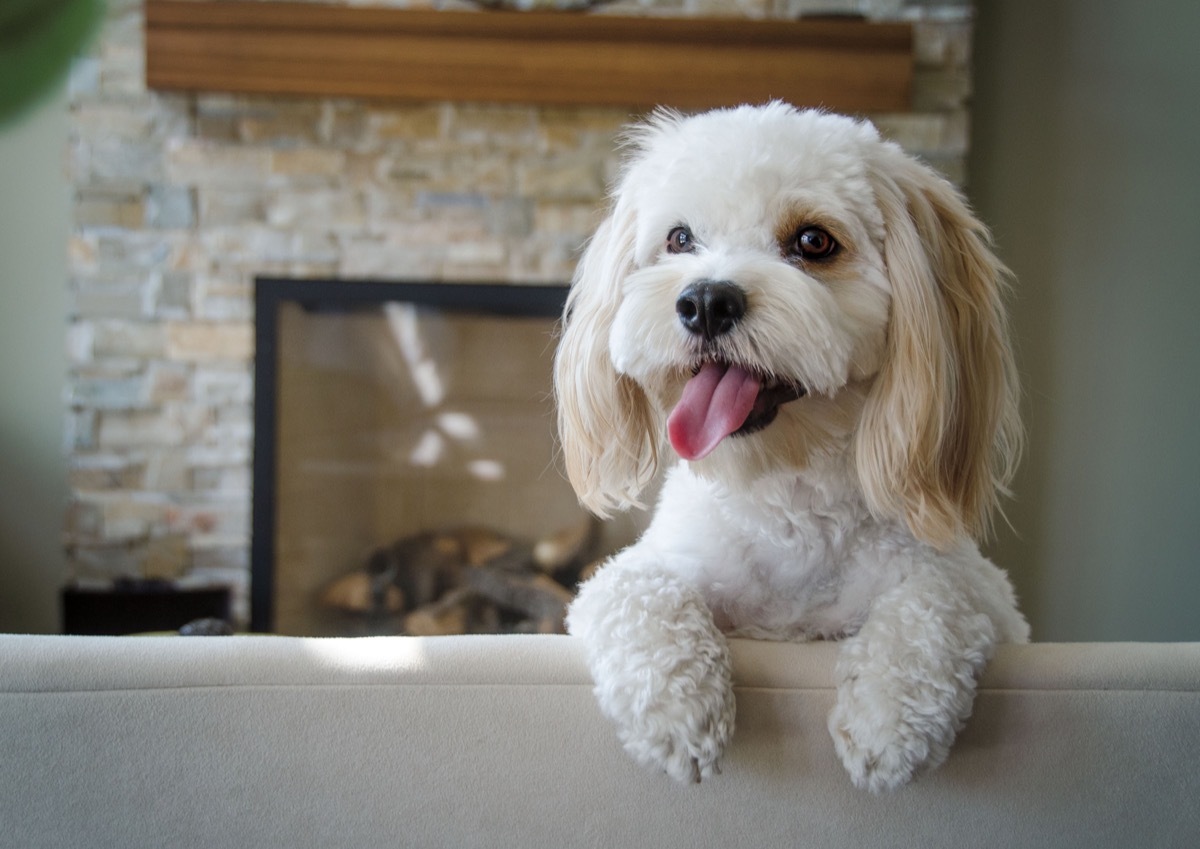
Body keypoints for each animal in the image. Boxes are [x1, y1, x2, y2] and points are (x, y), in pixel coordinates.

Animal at [552, 102, 1032, 791]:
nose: (705, 300)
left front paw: (888, 718)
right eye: (679, 239)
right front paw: (678, 711)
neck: (787, 492)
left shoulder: (984, 593)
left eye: (813, 242)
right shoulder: (655, 566)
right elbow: (634, 590)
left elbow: (937, 603)